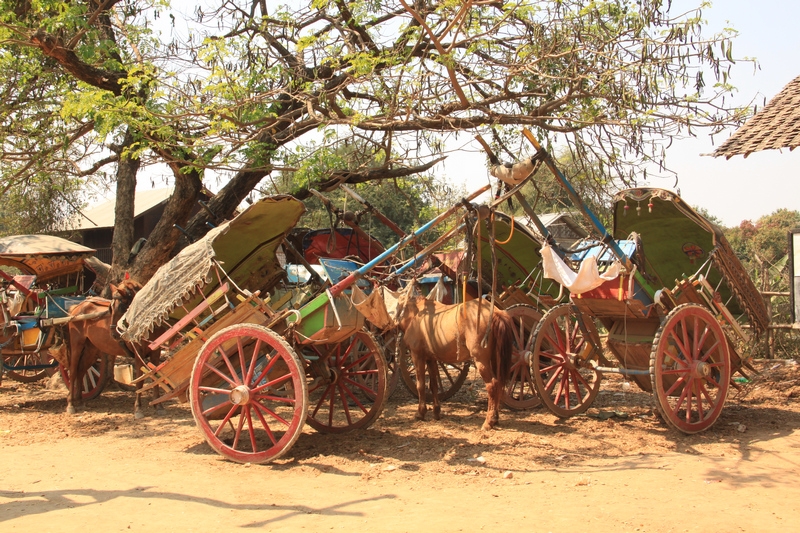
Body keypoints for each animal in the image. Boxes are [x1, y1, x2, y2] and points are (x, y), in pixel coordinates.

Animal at [55, 278, 161, 416]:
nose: (114, 334)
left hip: (91, 349)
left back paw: (79, 400)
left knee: (81, 370)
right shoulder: (139, 354)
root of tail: (77, 307)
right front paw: (138, 408)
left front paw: (158, 405)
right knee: (73, 371)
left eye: (123, 308)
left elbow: (156, 376)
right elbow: (139, 380)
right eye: (111, 308)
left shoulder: (156, 353)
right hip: (77, 344)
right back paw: (71, 404)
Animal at [394, 284, 512, 430]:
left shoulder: (417, 356)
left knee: (492, 385)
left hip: (481, 360)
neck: (417, 314)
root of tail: (494, 313)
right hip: (496, 360)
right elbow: (433, 385)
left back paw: (488, 421)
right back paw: (495, 418)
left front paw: (420, 413)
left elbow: (420, 385)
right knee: (499, 384)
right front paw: (436, 412)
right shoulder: (431, 358)